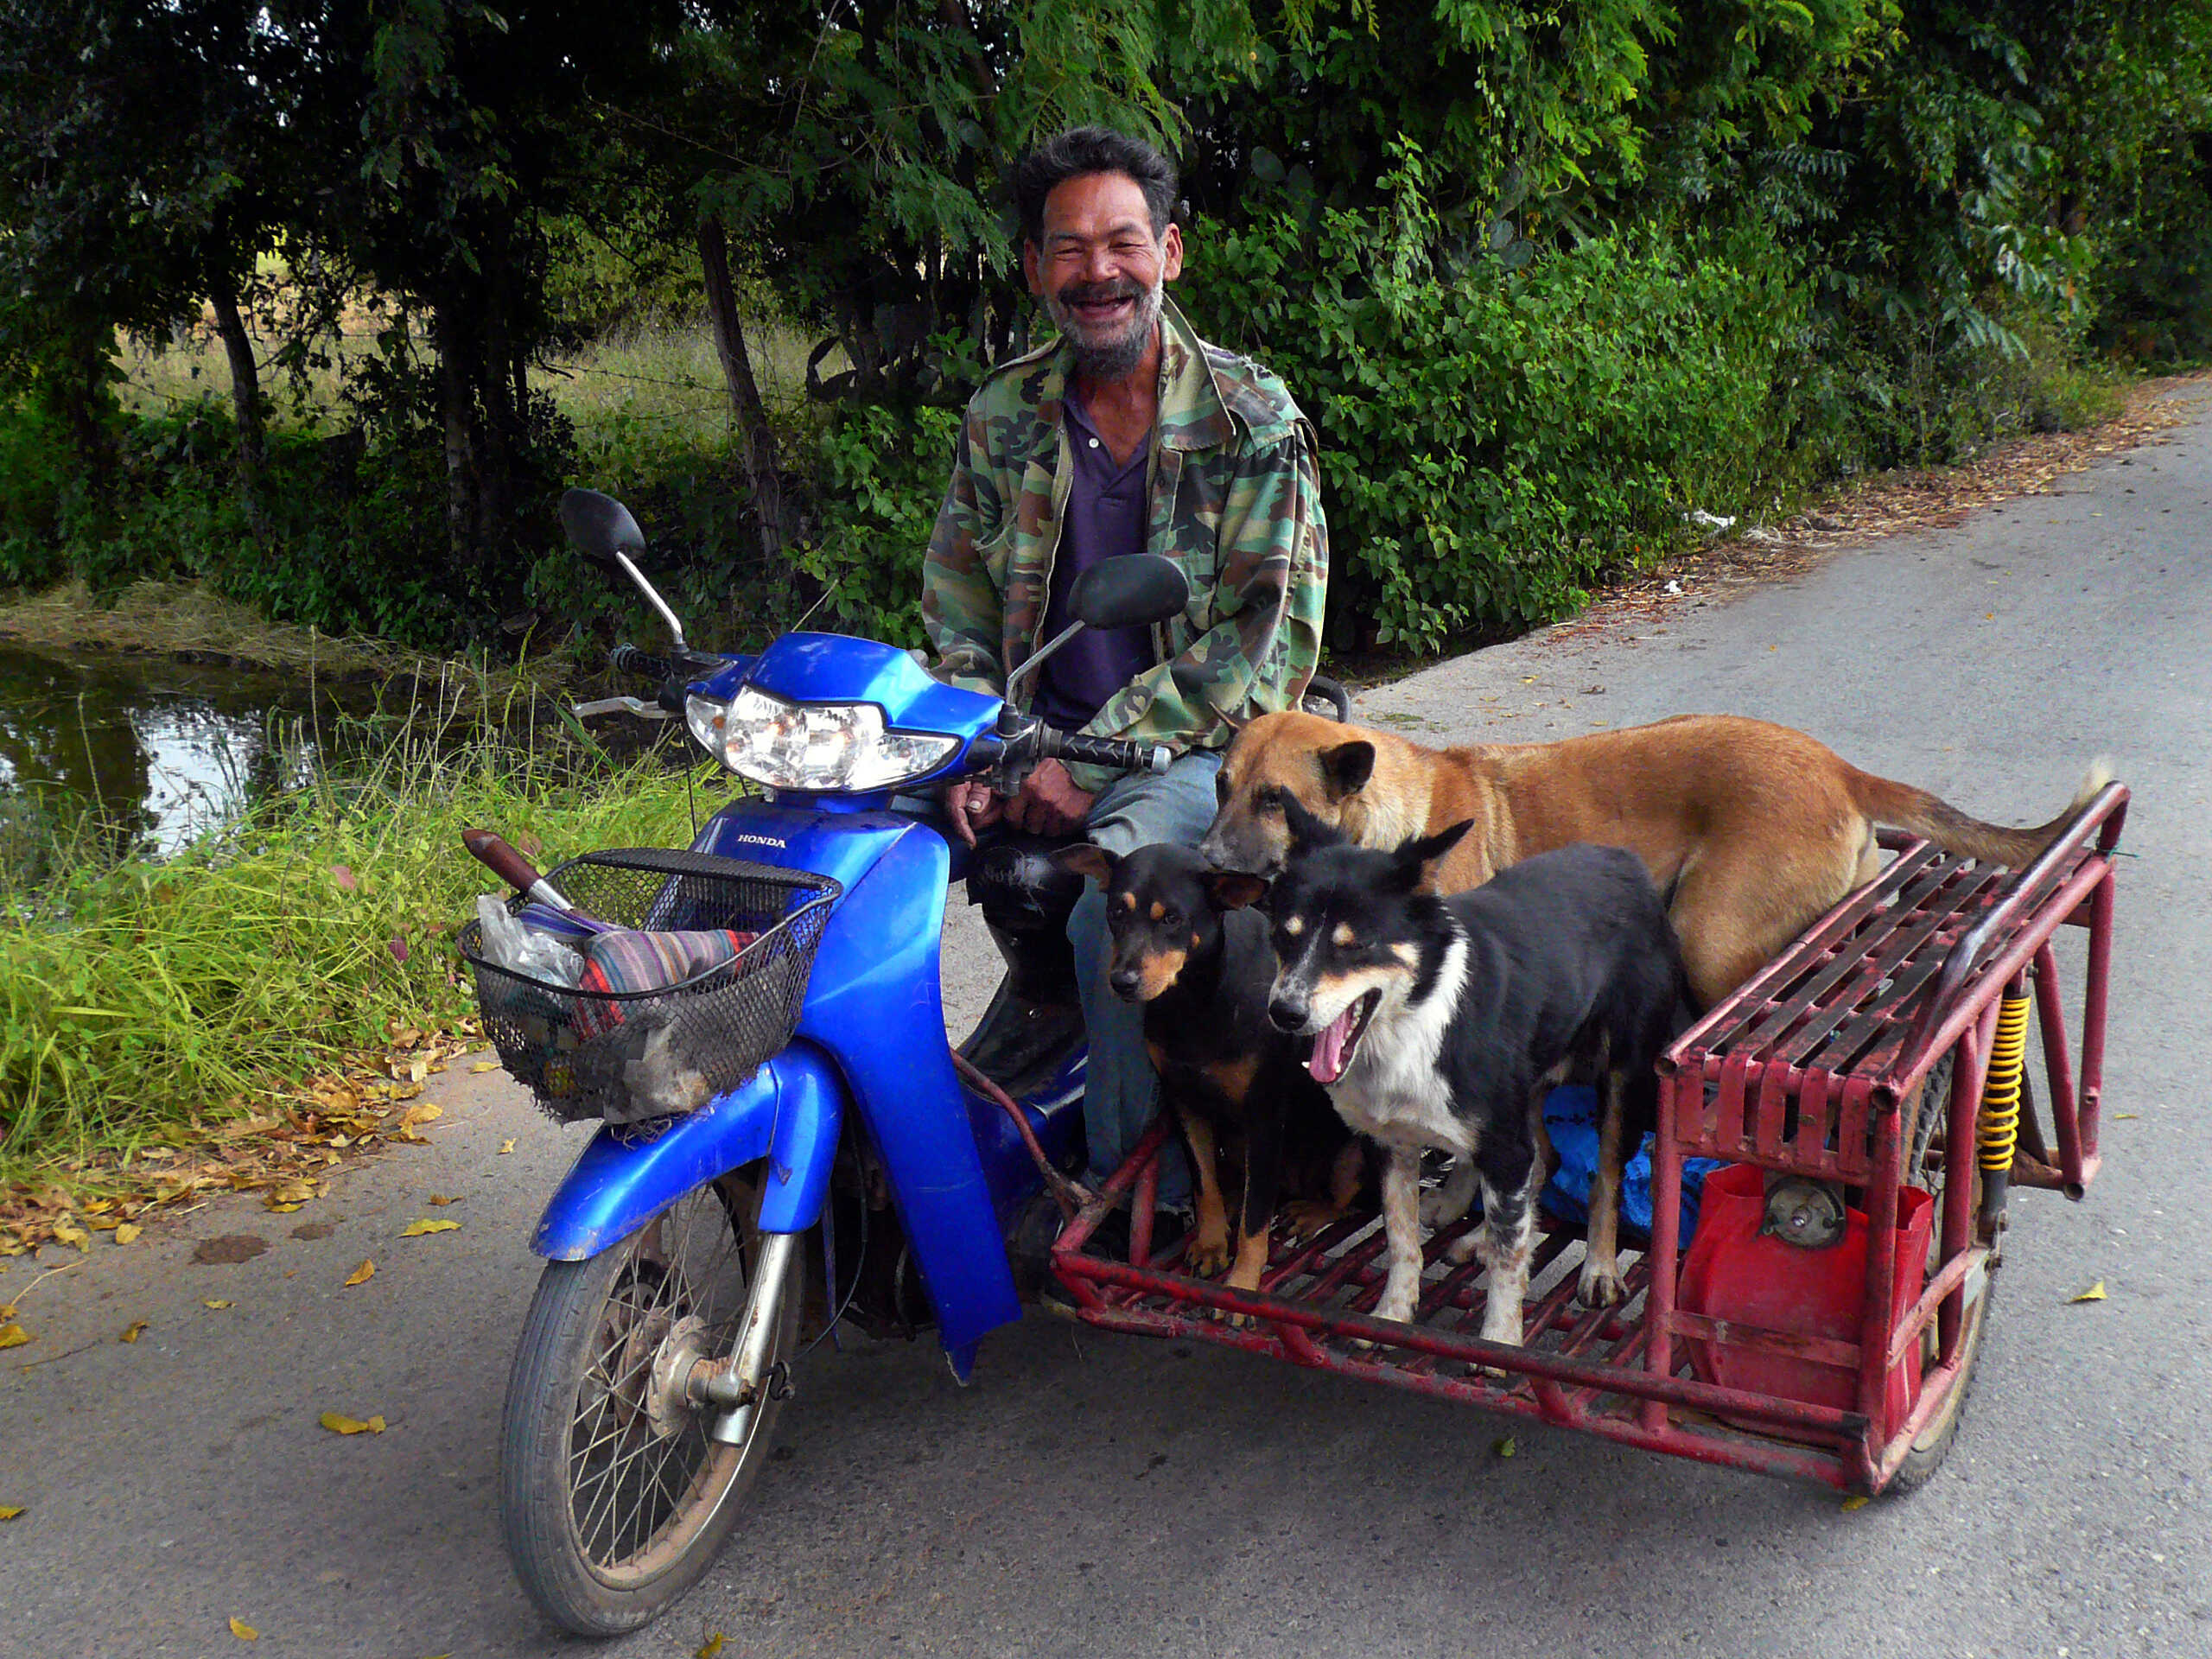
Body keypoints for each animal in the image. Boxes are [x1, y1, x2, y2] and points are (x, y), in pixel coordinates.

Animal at [1057, 844, 1362, 1300]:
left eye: (1172, 919)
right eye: (1115, 912)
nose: (1122, 981)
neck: (1194, 1000)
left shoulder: (1265, 1118)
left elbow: (1256, 1221)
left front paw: (1242, 1286)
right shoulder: (1183, 1102)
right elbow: (1204, 1184)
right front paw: (1211, 1243)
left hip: (1351, 1152)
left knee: (1350, 1200)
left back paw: (1311, 1211)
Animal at [1238, 800, 1681, 1353]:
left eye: (1356, 946)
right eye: (1285, 935)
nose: (1284, 1013)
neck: (1414, 1019)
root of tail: (1626, 860)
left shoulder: (1506, 1146)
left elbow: (1511, 1263)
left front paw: (1500, 1341)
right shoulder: (1391, 1144)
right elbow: (1401, 1236)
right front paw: (1393, 1313)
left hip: (1622, 1073)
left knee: (1605, 1175)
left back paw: (1598, 1267)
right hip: (1524, 1083)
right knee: (1543, 1160)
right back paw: (1476, 1235)